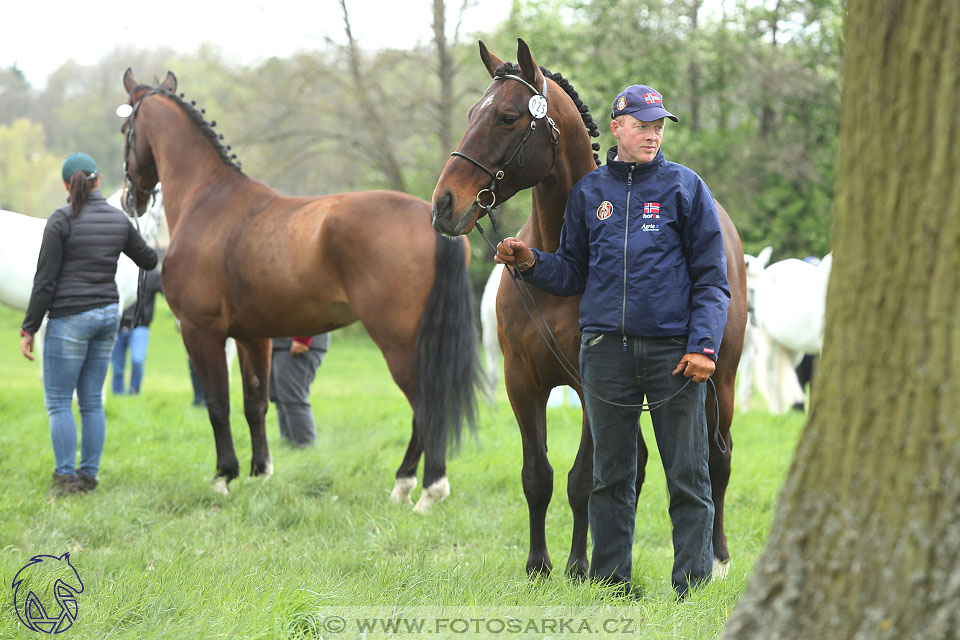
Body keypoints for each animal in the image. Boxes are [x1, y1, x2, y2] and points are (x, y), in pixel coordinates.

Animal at [120, 70, 480, 512]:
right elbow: (254, 404)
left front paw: (224, 476)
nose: (130, 199)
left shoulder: (200, 332)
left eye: (126, 130)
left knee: (427, 406)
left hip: (399, 344)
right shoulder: (252, 337)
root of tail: (435, 222)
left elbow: (218, 405)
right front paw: (259, 472)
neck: (207, 200)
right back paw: (404, 484)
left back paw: (428, 489)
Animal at [430, 40, 752, 580]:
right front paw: (539, 565)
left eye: (507, 117)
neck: (561, 263)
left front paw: (580, 566)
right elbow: (538, 476)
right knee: (637, 465)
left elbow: (583, 478)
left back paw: (719, 557)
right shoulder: (523, 382)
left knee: (717, 461)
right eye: (473, 113)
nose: (444, 204)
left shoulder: (590, 384)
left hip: (719, 383)